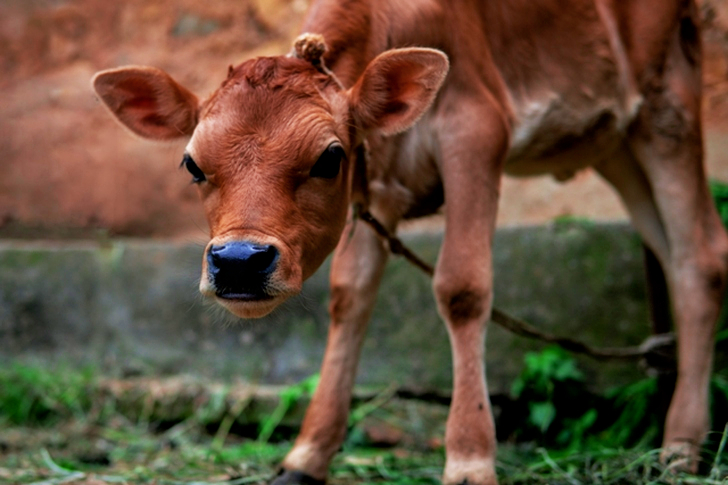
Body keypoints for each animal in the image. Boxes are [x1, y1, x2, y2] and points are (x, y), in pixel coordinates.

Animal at [92, 0, 728, 484]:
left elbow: (463, 289)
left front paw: (470, 459)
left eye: (329, 158)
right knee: (669, 251)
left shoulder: (476, 129)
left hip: (668, 102)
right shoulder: (378, 179)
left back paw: (680, 446)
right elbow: (349, 297)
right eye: (192, 164)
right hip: (615, 141)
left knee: (701, 256)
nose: (240, 262)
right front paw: (305, 457)